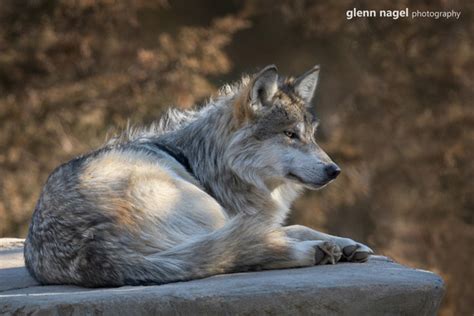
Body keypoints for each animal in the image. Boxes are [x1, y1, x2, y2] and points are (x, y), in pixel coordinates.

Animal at [24, 65, 374, 288]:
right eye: (290, 134)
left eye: (312, 135)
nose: (334, 170)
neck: (205, 160)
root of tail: (94, 249)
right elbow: (292, 228)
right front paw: (332, 244)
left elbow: (298, 227)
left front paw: (349, 244)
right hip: (204, 209)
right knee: (243, 250)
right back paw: (314, 251)